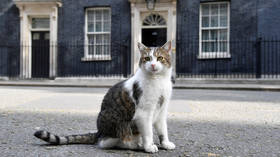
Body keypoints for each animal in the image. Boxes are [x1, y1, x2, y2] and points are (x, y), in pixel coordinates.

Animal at [34, 40, 175, 153]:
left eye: (160, 58)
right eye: (147, 58)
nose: (152, 65)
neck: (159, 81)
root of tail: (98, 132)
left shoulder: (161, 111)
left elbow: (163, 130)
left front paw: (165, 144)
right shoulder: (144, 113)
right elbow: (148, 132)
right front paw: (149, 146)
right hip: (119, 124)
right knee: (108, 142)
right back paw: (135, 145)